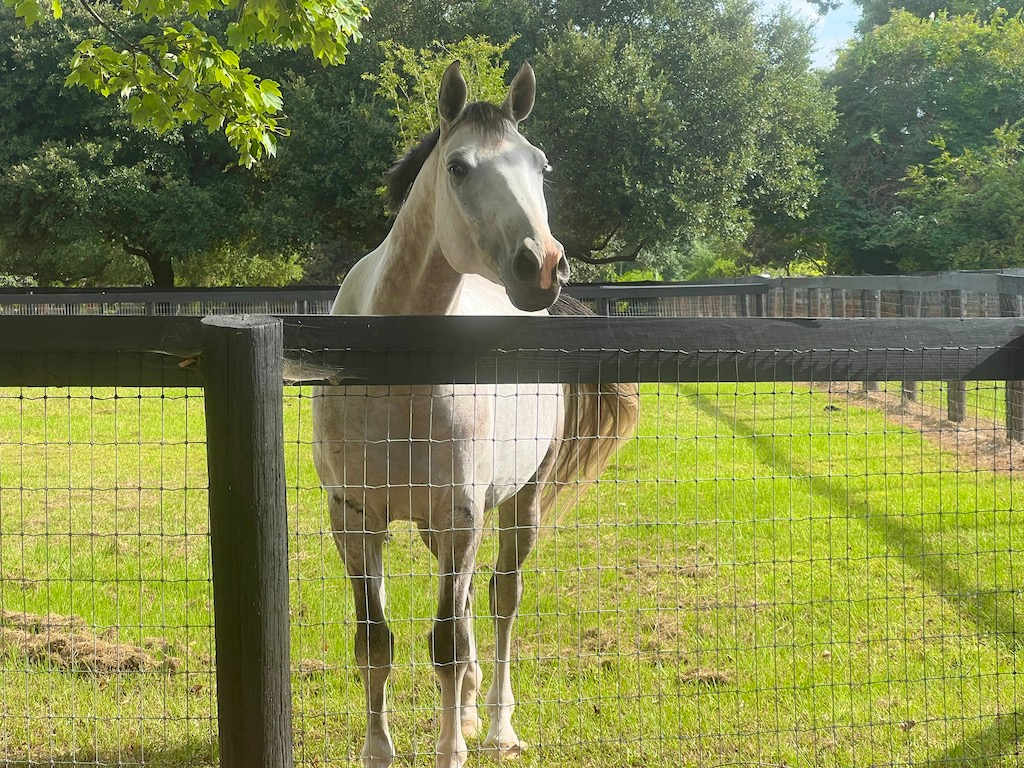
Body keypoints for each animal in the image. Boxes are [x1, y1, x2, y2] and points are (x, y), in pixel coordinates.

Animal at [312, 61, 639, 768]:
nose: (542, 265)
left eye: (541, 165)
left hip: (517, 504)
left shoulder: (462, 515)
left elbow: (445, 643)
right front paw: (379, 751)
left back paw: (493, 724)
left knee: (498, 602)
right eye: (459, 167)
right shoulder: (355, 518)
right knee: (463, 612)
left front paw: (451, 750)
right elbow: (376, 643)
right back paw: (466, 709)